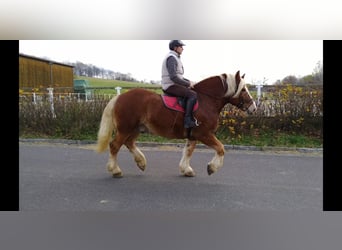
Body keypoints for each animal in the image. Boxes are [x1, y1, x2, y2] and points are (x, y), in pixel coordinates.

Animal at [95, 69, 256, 177]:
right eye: (243, 90)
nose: (253, 107)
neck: (206, 100)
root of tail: (120, 97)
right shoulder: (204, 134)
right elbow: (221, 148)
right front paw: (212, 168)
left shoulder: (193, 135)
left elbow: (188, 151)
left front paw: (186, 170)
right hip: (125, 129)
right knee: (114, 146)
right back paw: (116, 170)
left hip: (136, 129)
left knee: (129, 143)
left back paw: (141, 162)